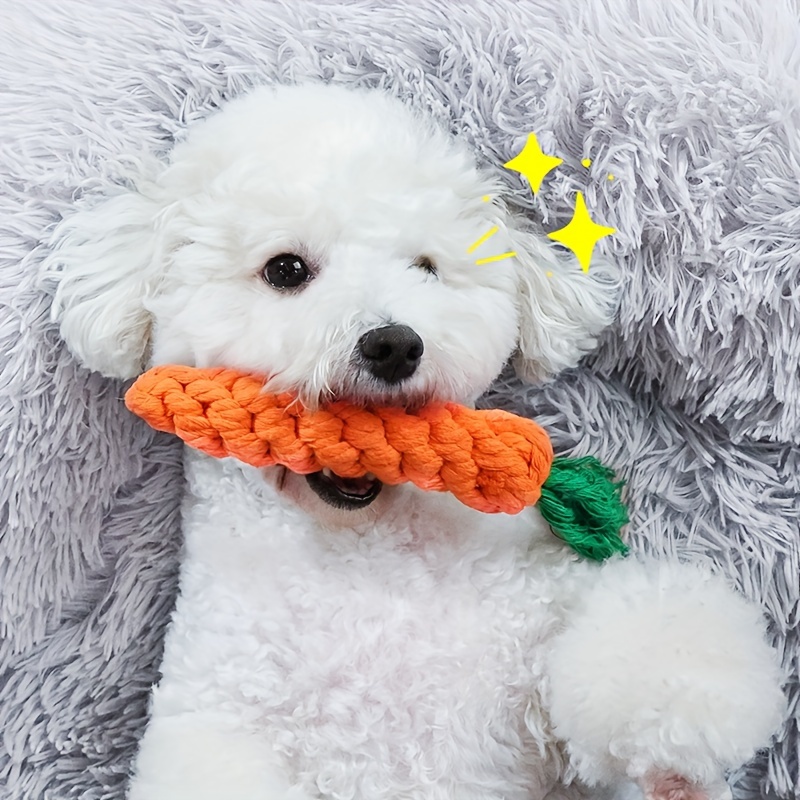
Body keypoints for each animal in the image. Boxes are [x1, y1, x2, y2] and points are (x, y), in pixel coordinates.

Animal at [43, 83, 780, 800]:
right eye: (285, 269)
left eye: (425, 267)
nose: (394, 344)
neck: (370, 558)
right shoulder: (216, 713)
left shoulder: (541, 620)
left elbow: (647, 633)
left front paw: (678, 760)